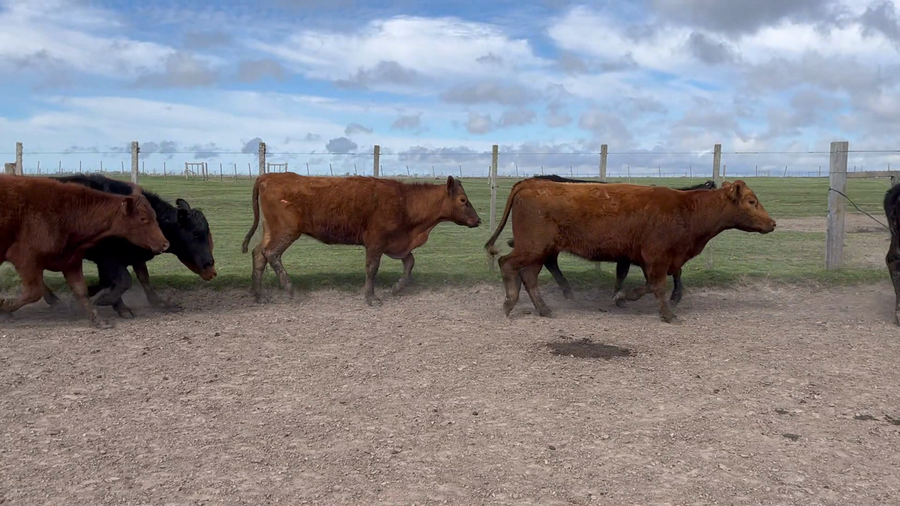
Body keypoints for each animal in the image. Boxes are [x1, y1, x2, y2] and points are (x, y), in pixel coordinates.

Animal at [0, 175, 170, 328]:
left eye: (155, 216)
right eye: (143, 218)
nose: (165, 243)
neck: (67, 212)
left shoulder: (71, 261)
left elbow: (81, 291)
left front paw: (98, 319)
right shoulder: (25, 258)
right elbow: (33, 292)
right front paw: (4, 307)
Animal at [40, 174, 216, 318]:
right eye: (195, 233)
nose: (210, 265)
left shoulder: (133, 256)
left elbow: (141, 278)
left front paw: (158, 302)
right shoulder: (107, 257)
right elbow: (124, 280)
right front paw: (111, 302)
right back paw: (54, 300)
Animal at [242, 173, 482, 305]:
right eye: (463, 200)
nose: (478, 220)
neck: (405, 201)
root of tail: (268, 176)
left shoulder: (397, 243)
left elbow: (410, 262)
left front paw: (397, 287)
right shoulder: (376, 242)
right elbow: (372, 268)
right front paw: (371, 297)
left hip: (272, 231)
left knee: (259, 254)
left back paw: (259, 295)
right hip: (286, 232)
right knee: (271, 254)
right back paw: (291, 290)